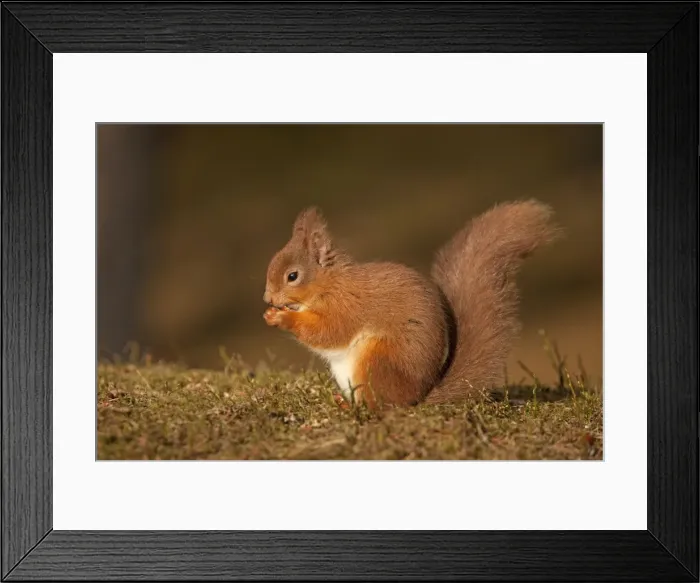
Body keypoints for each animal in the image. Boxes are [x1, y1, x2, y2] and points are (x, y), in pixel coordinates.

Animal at [263, 200, 560, 409]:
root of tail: (417, 398)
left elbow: (329, 332)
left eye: (292, 276)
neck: (328, 283)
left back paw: (354, 408)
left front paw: (281, 318)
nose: (268, 299)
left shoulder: (347, 306)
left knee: (381, 407)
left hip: (377, 360)